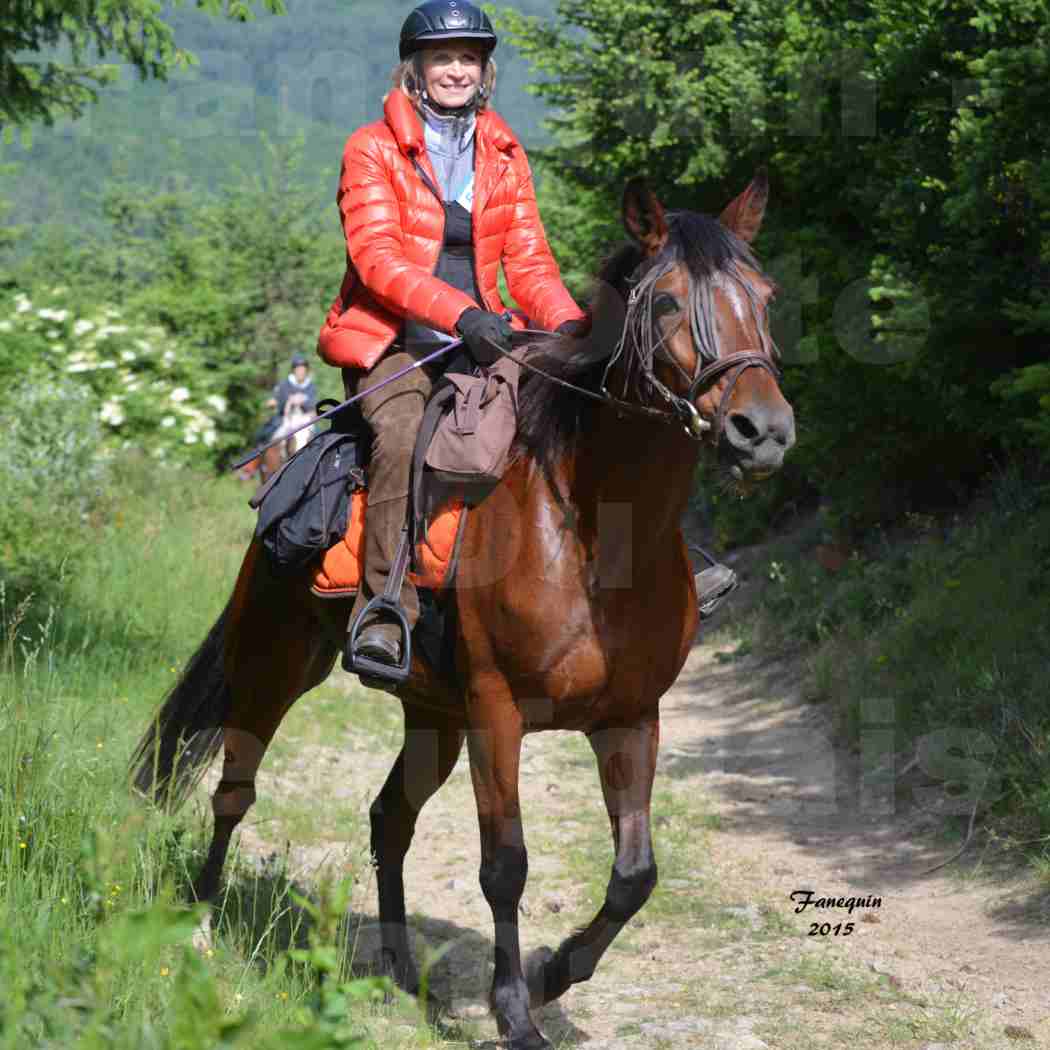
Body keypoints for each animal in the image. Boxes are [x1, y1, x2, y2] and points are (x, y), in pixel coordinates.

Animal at [131, 176, 793, 1045]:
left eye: (766, 297)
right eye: (667, 303)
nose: (763, 432)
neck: (588, 534)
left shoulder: (630, 717)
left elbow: (635, 874)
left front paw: (552, 973)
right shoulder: (497, 711)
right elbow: (505, 865)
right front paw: (514, 1010)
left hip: (431, 715)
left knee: (389, 818)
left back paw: (399, 972)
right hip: (277, 663)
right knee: (235, 790)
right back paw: (202, 924)